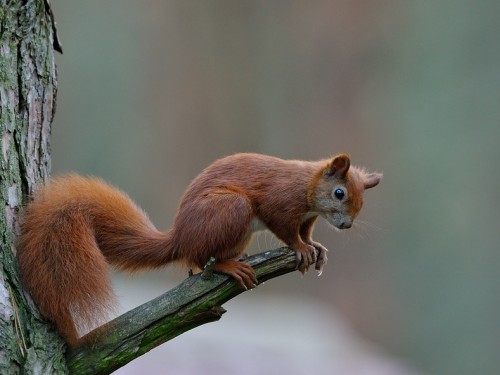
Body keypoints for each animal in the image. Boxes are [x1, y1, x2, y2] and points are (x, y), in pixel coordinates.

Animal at [16, 153, 382, 346]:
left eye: (362, 202)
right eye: (338, 193)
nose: (346, 225)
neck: (306, 187)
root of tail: (179, 237)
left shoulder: (307, 218)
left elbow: (306, 234)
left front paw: (315, 247)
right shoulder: (280, 204)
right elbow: (286, 232)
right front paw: (300, 248)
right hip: (232, 209)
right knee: (197, 259)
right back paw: (226, 267)